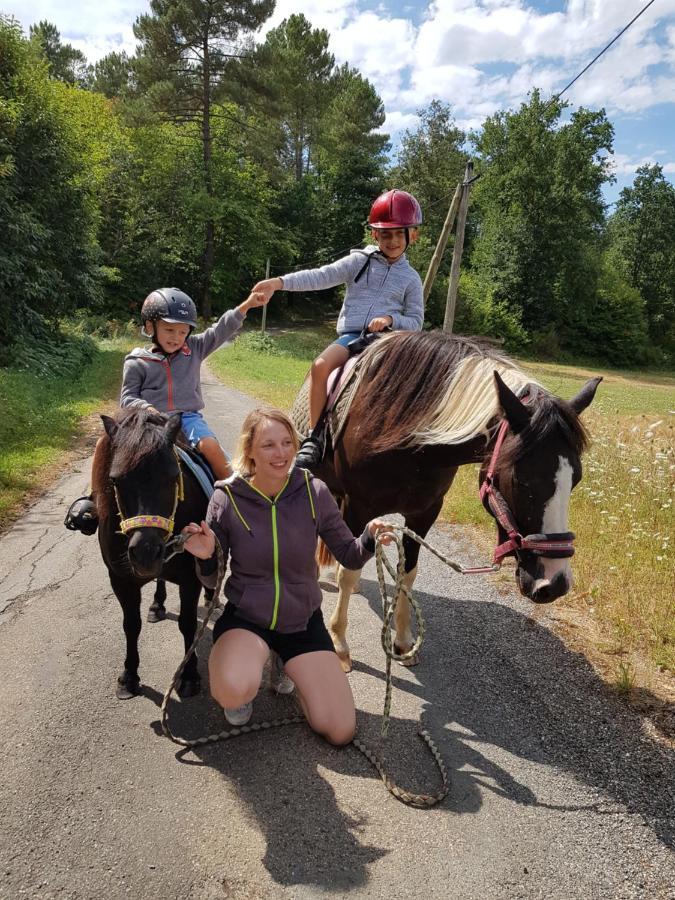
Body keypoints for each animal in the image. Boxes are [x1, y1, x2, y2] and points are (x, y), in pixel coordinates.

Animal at [92, 406, 209, 696]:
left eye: (174, 477)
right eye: (115, 481)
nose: (146, 552)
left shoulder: (190, 580)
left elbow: (188, 623)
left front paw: (189, 675)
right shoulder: (121, 580)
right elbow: (131, 625)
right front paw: (129, 676)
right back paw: (157, 604)